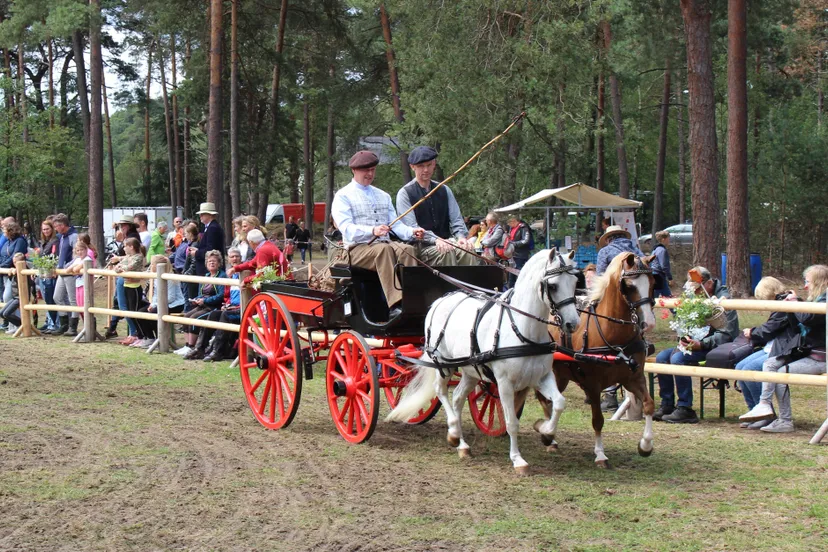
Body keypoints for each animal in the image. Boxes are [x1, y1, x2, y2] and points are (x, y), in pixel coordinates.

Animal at [384, 248, 580, 472]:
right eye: (553, 285)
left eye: (575, 282)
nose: (573, 323)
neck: (522, 329)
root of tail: (439, 301)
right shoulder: (504, 383)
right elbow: (511, 422)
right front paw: (517, 459)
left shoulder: (542, 377)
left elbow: (559, 403)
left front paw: (546, 432)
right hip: (443, 364)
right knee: (440, 391)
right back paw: (453, 433)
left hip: (470, 370)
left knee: (457, 397)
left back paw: (462, 445)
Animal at [540, 253, 656, 466]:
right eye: (629, 286)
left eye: (652, 282)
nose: (649, 323)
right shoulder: (593, 385)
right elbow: (598, 420)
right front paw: (600, 454)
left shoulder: (633, 378)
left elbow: (648, 404)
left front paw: (645, 445)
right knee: (545, 399)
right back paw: (548, 436)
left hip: (561, 376)